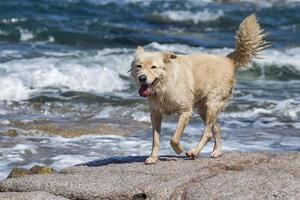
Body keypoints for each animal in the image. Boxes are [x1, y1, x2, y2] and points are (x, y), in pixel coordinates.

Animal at [130, 14, 268, 164]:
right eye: (138, 66)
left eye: (153, 67)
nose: (142, 78)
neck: (165, 85)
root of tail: (228, 60)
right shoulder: (155, 114)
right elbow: (155, 139)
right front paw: (153, 157)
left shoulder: (186, 111)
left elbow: (174, 138)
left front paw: (179, 149)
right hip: (204, 109)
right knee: (216, 128)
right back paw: (217, 151)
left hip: (212, 103)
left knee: (208, 133)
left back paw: (194, 151)